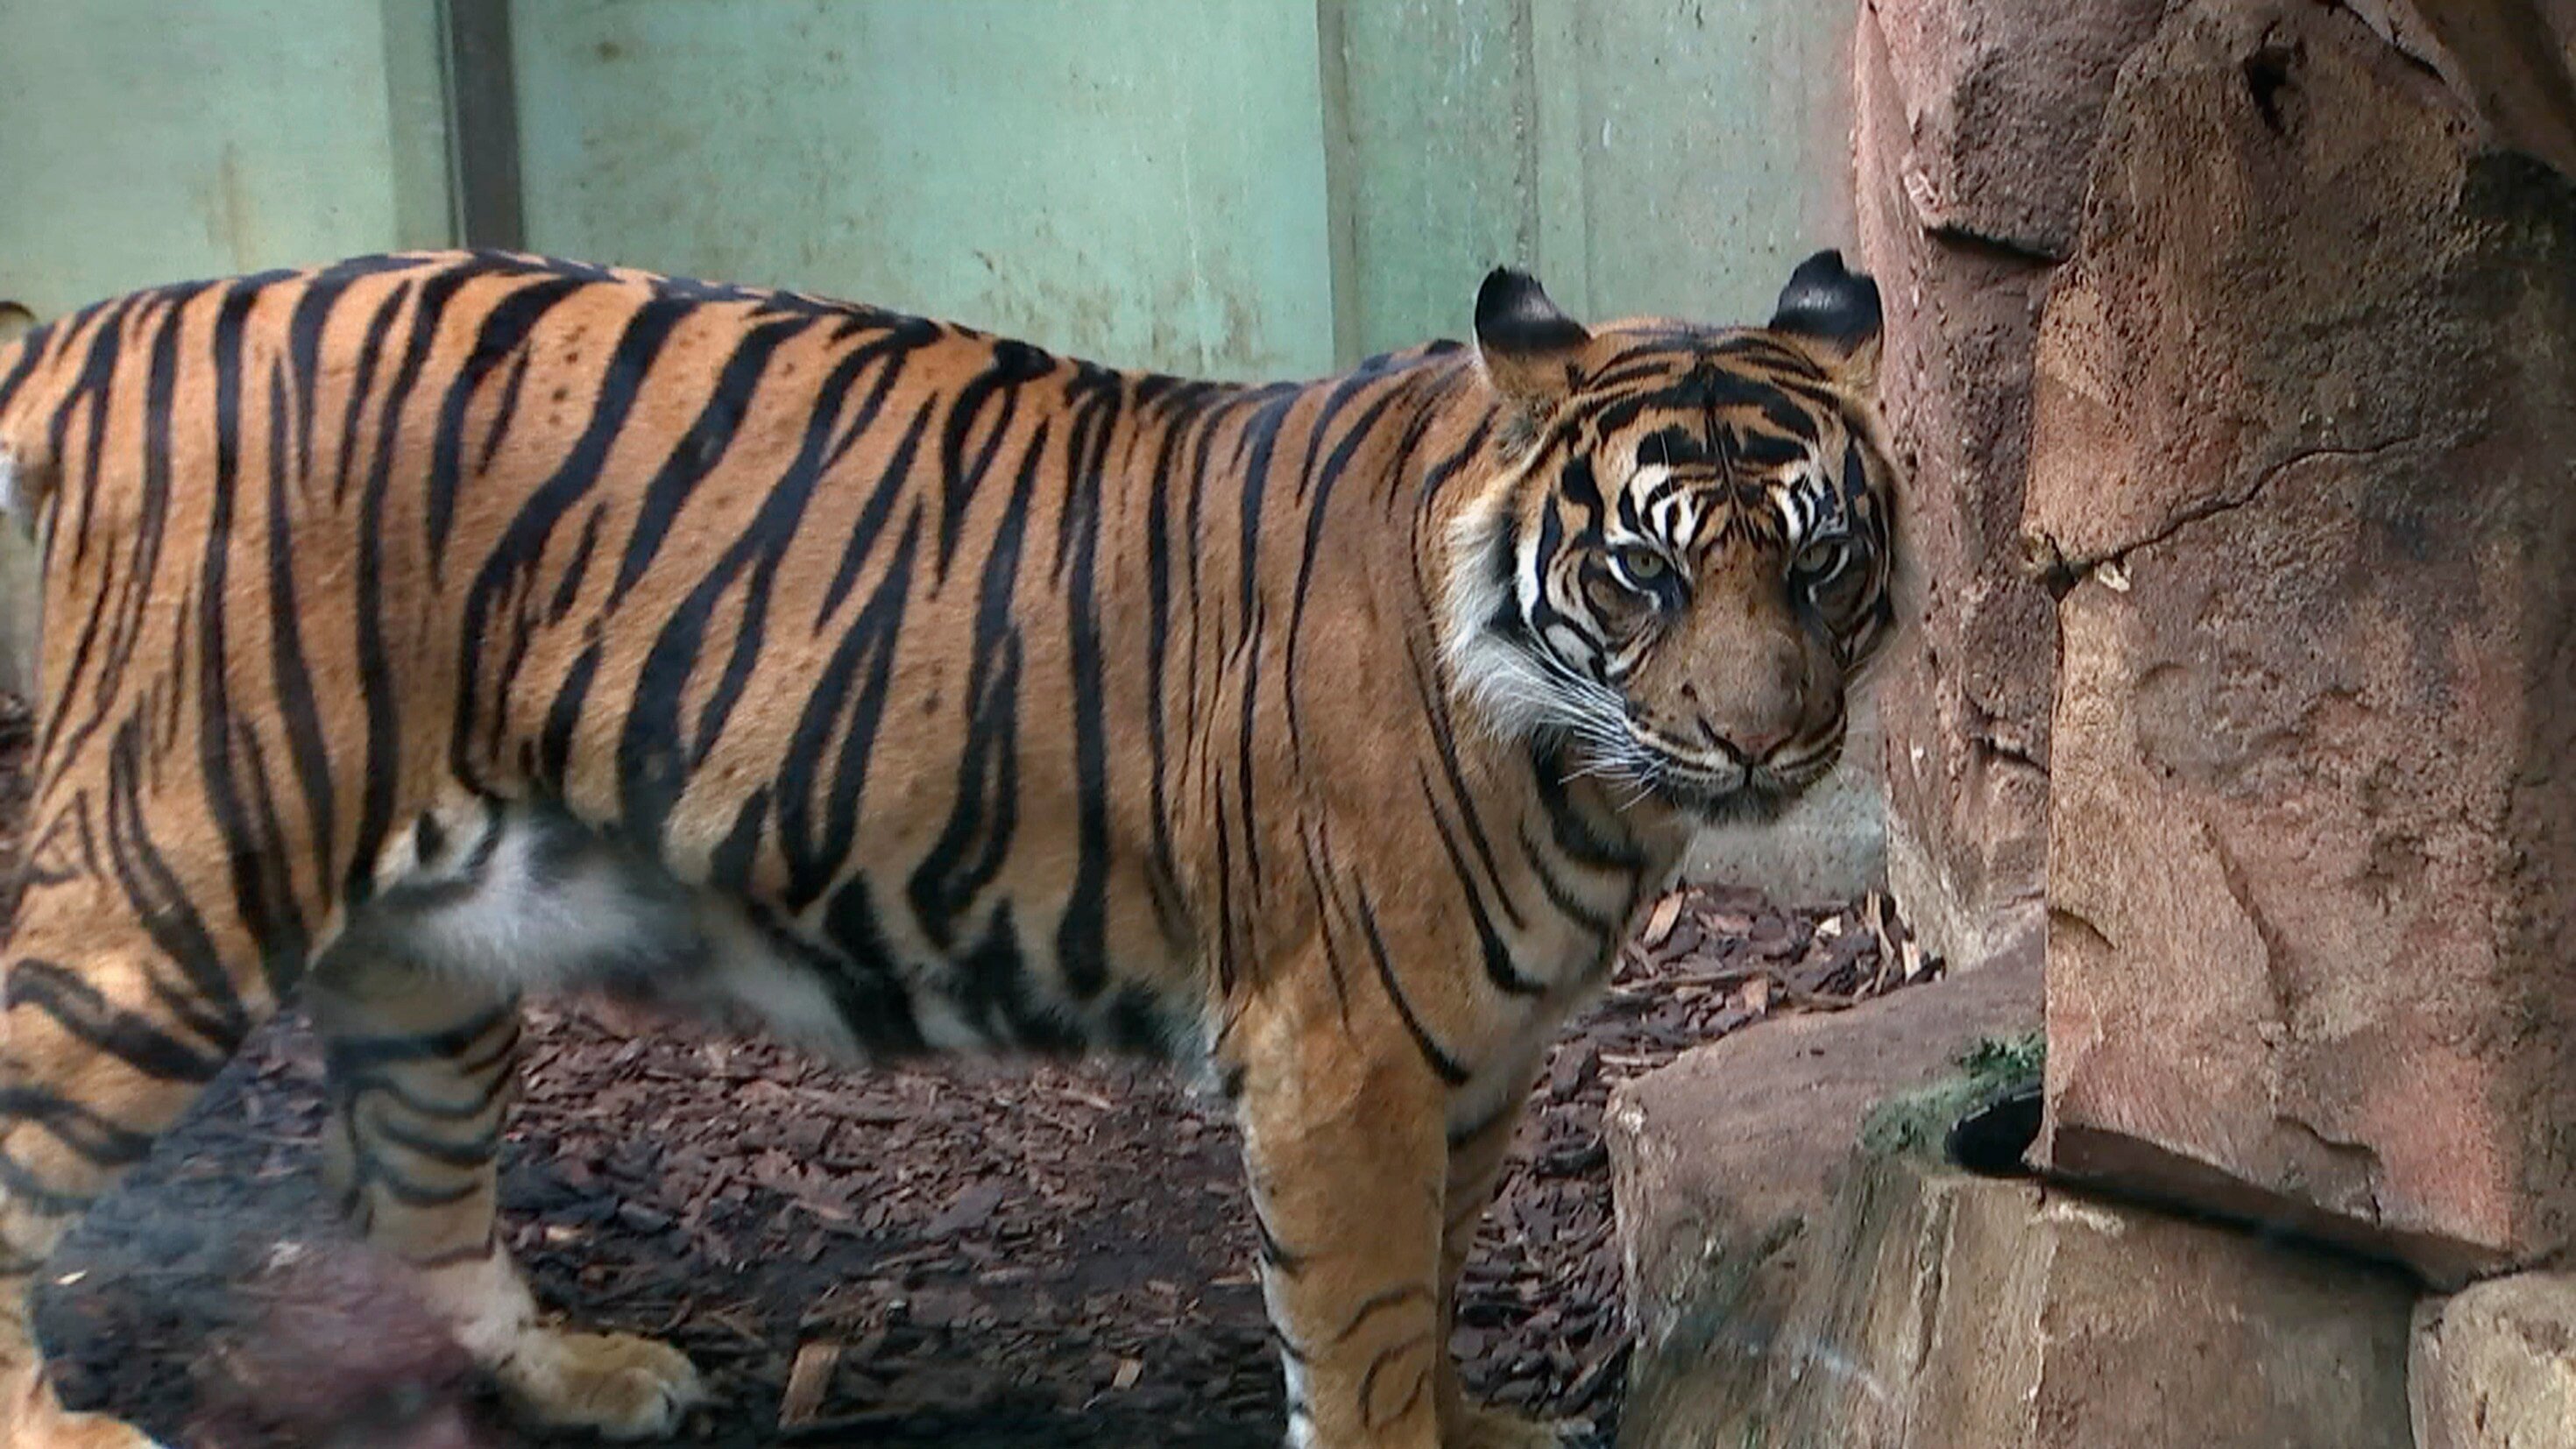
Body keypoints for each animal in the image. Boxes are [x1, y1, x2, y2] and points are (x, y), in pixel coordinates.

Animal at [0, 249, 1895, 1449]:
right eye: (1644, 570)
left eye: (1820, 561)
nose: (1761, 739)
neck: (1590, 773)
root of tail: (120, 320)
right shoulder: (1343, 1058)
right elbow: (1360, 1330)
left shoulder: (1478, 1061)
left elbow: (1429, 1287)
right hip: (172, 869)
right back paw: (65, 1426)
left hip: (429, 938)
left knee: (417, 1184)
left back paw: (583, 1377)